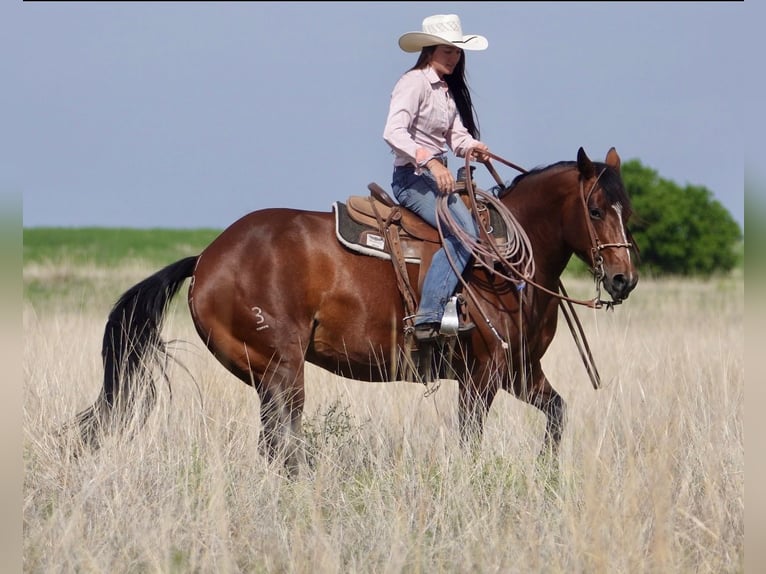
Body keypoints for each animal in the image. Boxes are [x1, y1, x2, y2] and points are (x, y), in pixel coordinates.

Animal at [69, 147, 640, 476]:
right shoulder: (482, 375)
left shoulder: (521, 371)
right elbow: (469, 441)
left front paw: (547, 475)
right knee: (283, 444)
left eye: (627, 211)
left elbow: (557, 415)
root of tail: (208, 257)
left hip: (267, 378)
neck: (503, 265)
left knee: (276, 445)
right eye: (594, 209)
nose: (623, 279)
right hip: (283, 370)